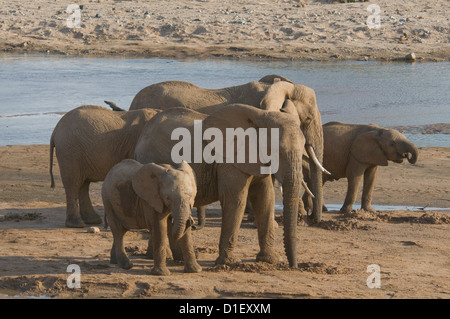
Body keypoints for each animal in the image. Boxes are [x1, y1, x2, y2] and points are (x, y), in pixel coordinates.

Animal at [135, 104, 308, 268]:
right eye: (277, 151)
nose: (293, 266)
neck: (261, 116)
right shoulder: (229, 161)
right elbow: (236, 200)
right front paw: (229, 262)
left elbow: (265, 198)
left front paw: (270, 260)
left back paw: (172, 258)